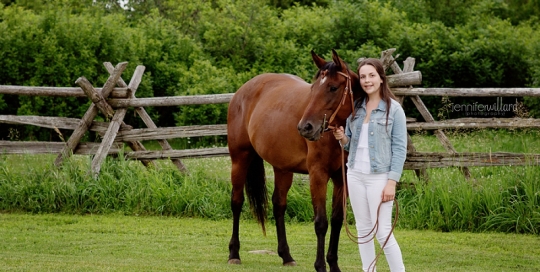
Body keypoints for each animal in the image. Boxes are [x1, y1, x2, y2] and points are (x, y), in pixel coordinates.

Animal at [227, 49, 358, 272]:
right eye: (313, 88)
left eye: (333, 87)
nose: (306, 127)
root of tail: (243, 90)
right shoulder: (318, 175)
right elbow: (321, 222)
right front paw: (320, 266)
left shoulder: (342, 178)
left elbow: (337, 219)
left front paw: (333, 265)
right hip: (240, 159)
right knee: (237, 202)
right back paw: (234, 253)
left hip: (282, 169)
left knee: (279, 205)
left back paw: (286, 256)